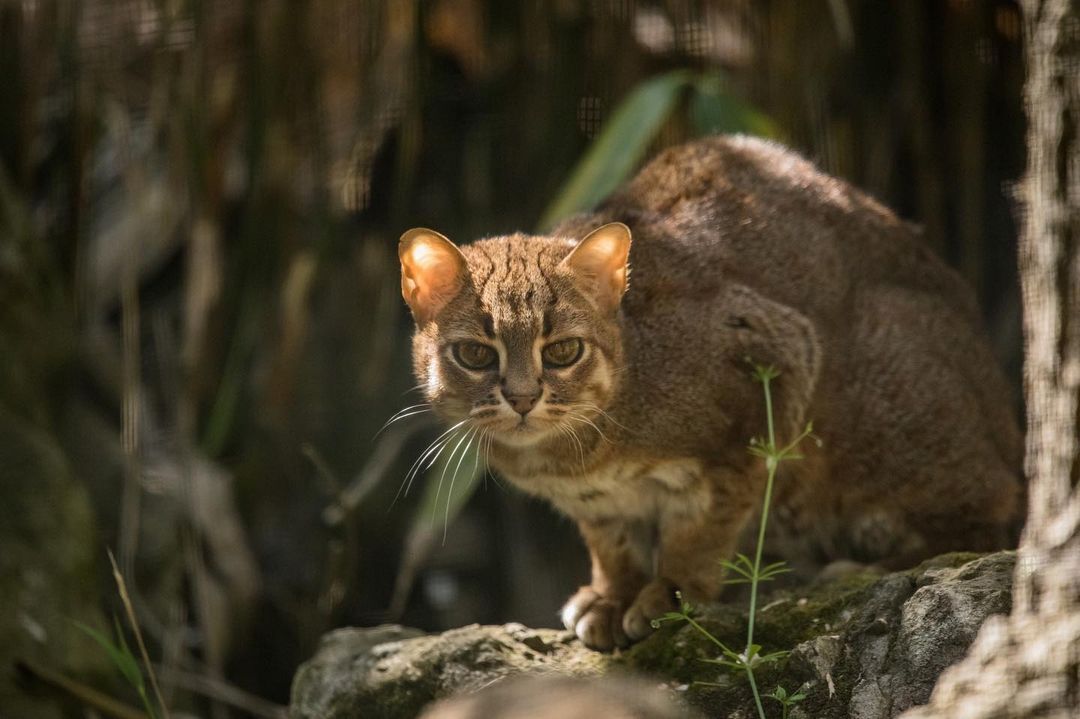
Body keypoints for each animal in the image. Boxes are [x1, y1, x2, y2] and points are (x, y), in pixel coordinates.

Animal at [397, 134, 1019, 647]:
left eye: (563, 351)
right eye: (477, 354)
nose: (523, 399)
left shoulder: (774, 367)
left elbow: (701, 529)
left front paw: (670, 595)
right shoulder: (596, 505)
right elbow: (611, 543)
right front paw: (611, 595)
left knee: (985, 522)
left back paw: (865, 568)